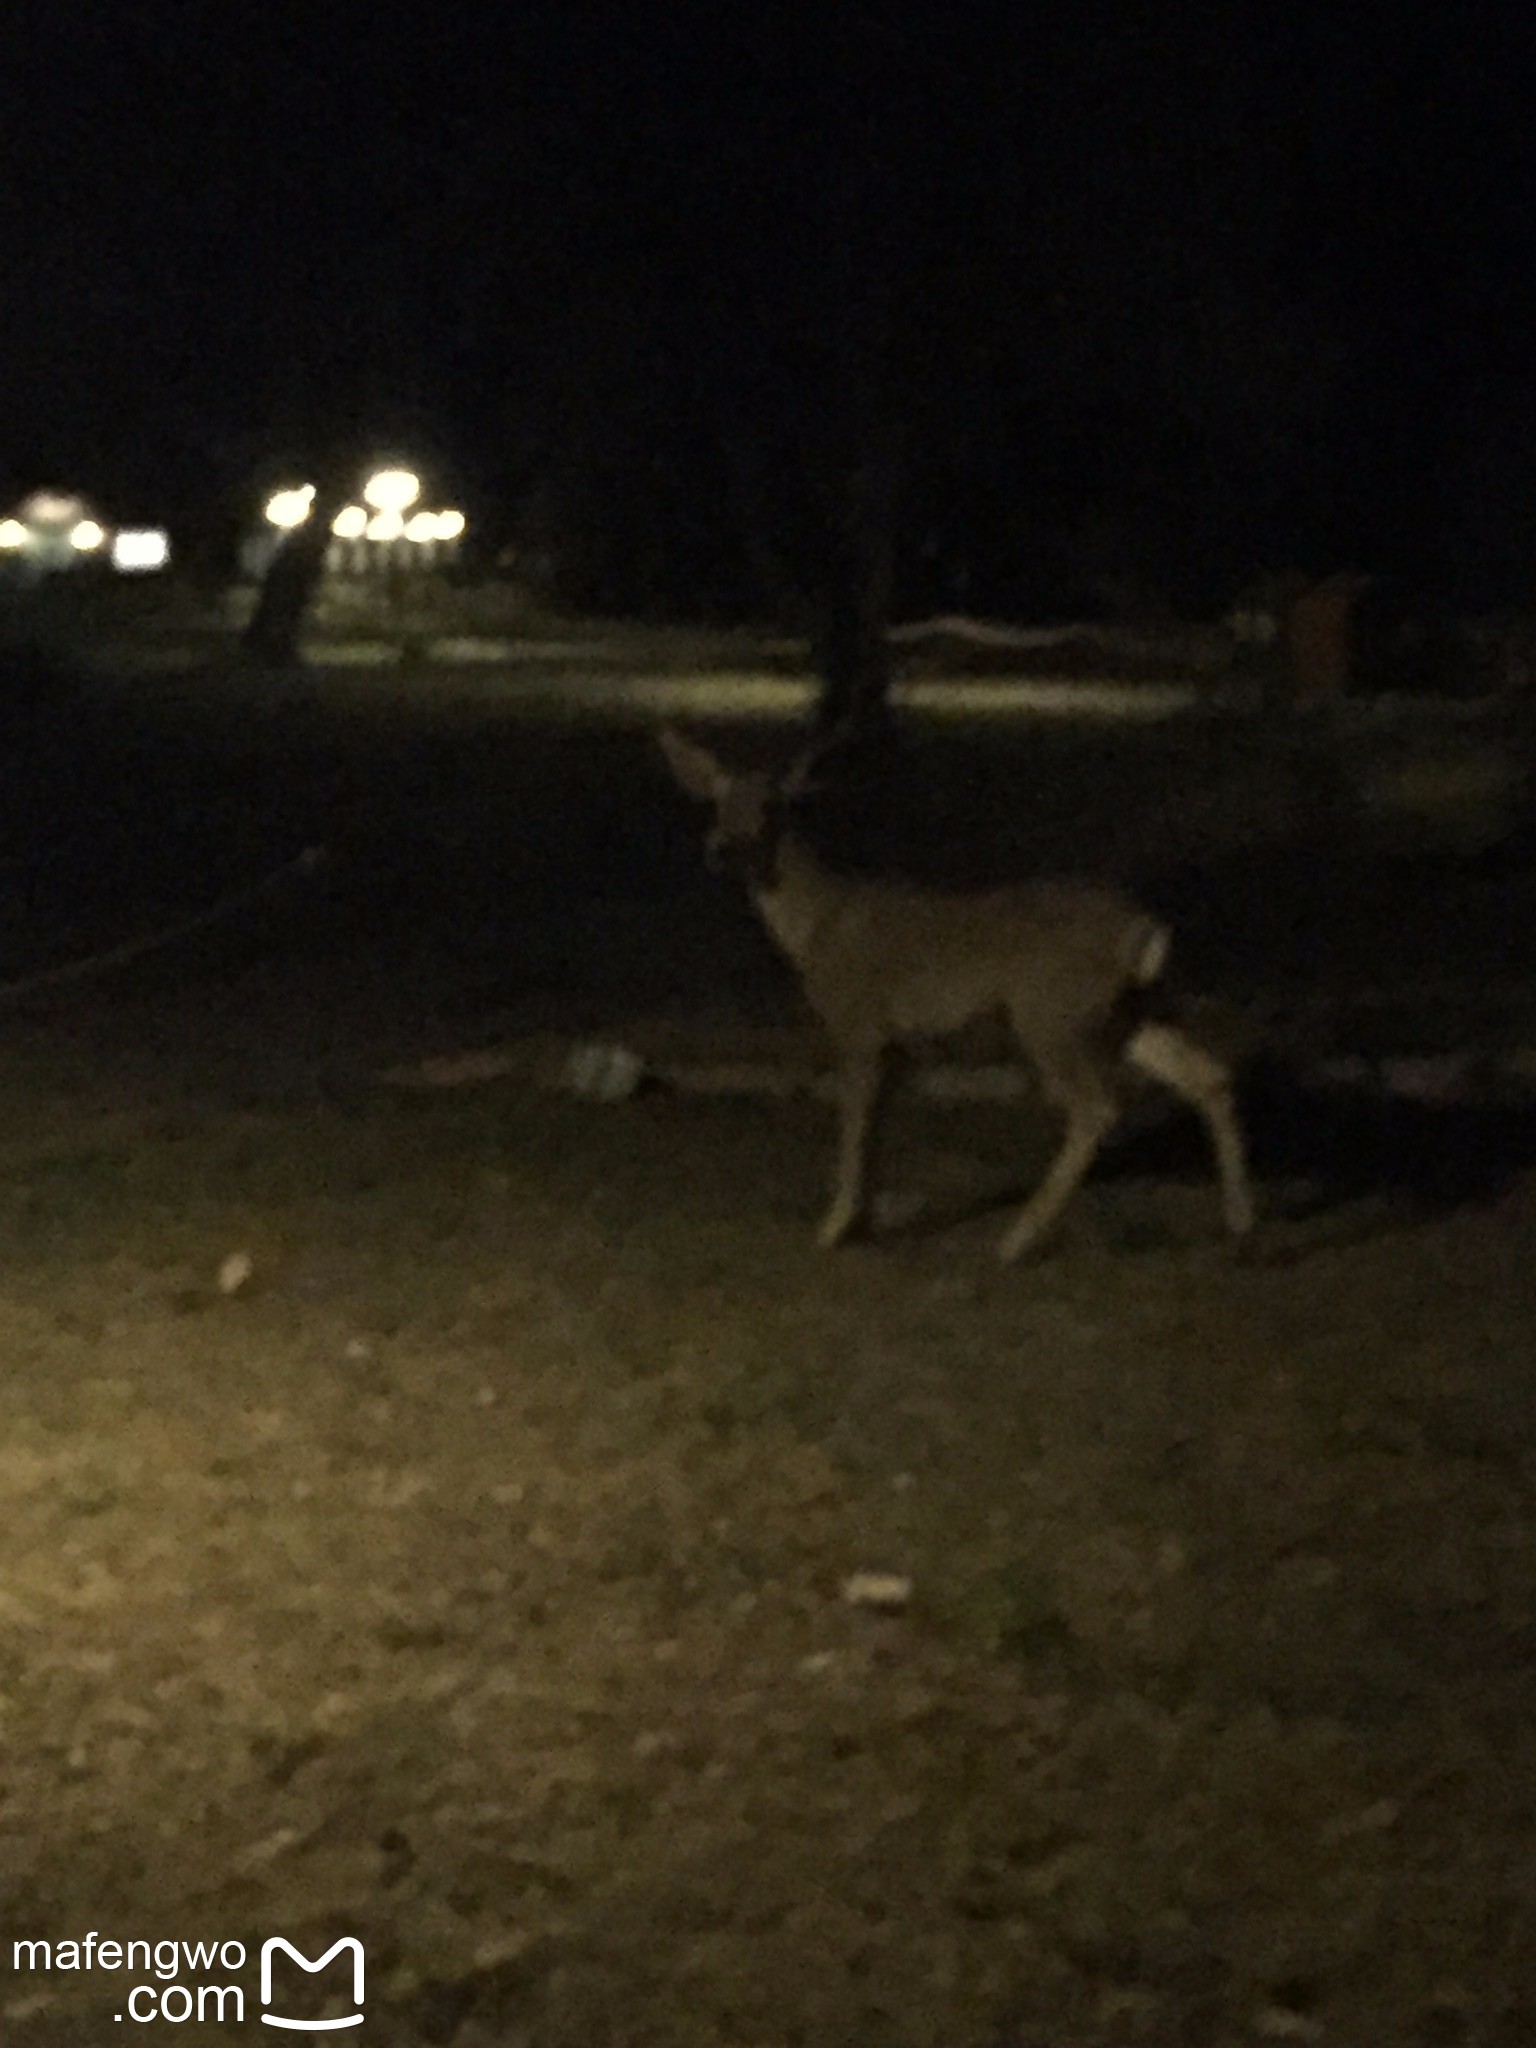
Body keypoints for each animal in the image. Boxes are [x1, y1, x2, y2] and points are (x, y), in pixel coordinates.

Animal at [655, 729, 1253, 1253]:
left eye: (771, 807)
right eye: (717, 804)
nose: (720, 850)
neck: (814, 929)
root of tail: (1144, 932)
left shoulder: (857, 1020)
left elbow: (853, 1124)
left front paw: (832, 1229)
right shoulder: (895, 1042)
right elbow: (874, 1126)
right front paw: (864, 1221)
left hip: (1050, 1012)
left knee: (1097, 1106)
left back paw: (1017, 1240)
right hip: (1135, 1011)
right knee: (1209, 1075)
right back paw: (1241, 1220)